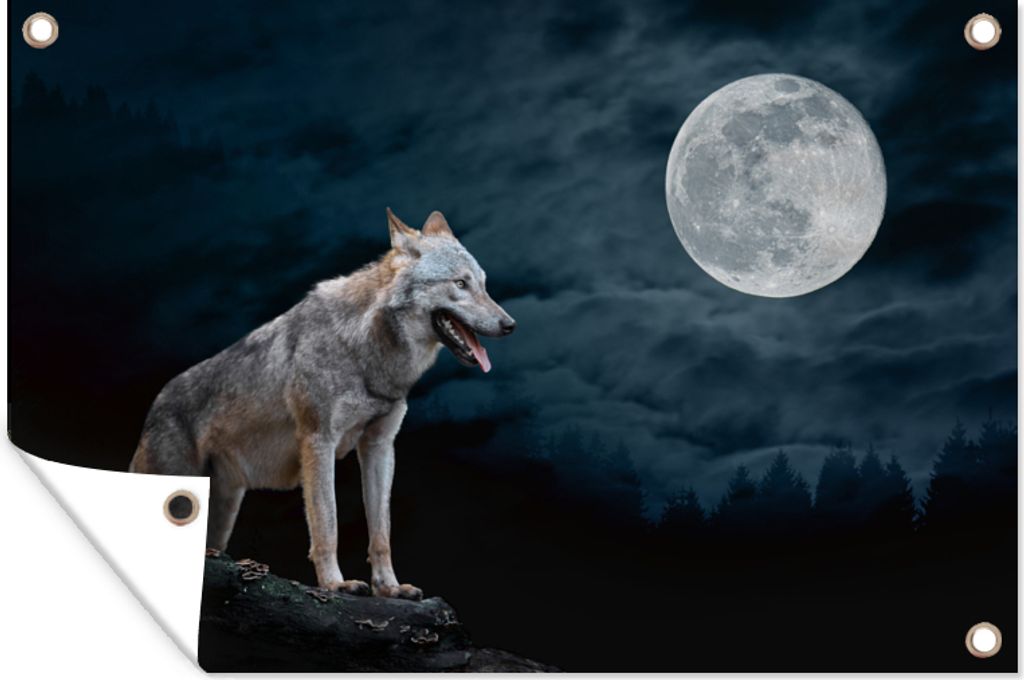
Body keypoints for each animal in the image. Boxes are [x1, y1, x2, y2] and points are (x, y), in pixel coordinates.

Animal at [129, 209, 515, 599]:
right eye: (460, 283)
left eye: (483, 285)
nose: (510, 324)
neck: (365, 352)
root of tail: (155, 406)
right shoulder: (318, 442)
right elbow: (327, 525)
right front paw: (335, 583)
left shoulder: (379, 446)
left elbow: (381, 531)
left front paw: (389, 588)